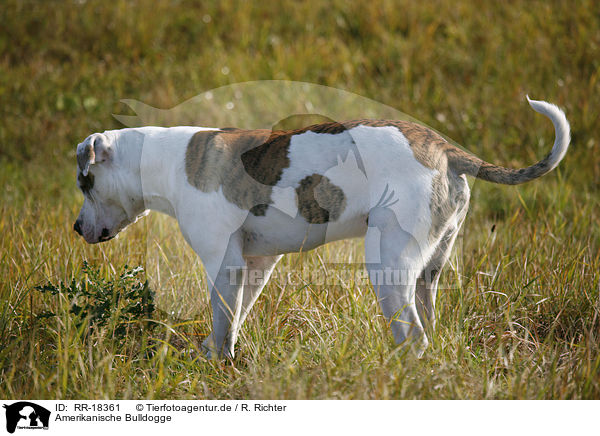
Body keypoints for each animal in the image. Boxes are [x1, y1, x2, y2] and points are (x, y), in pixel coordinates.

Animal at [72, 98, 568, 358]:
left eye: (84, 182)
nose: (76, 228)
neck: (166, 159)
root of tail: (446, 148)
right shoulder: (254, 264)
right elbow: (234, 318)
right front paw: (216, 357)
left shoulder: (223, 263)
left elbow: (222, 319)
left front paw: (217, 365)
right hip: (427, 272)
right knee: (428, 327)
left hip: (387, 268)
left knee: (413, 336)